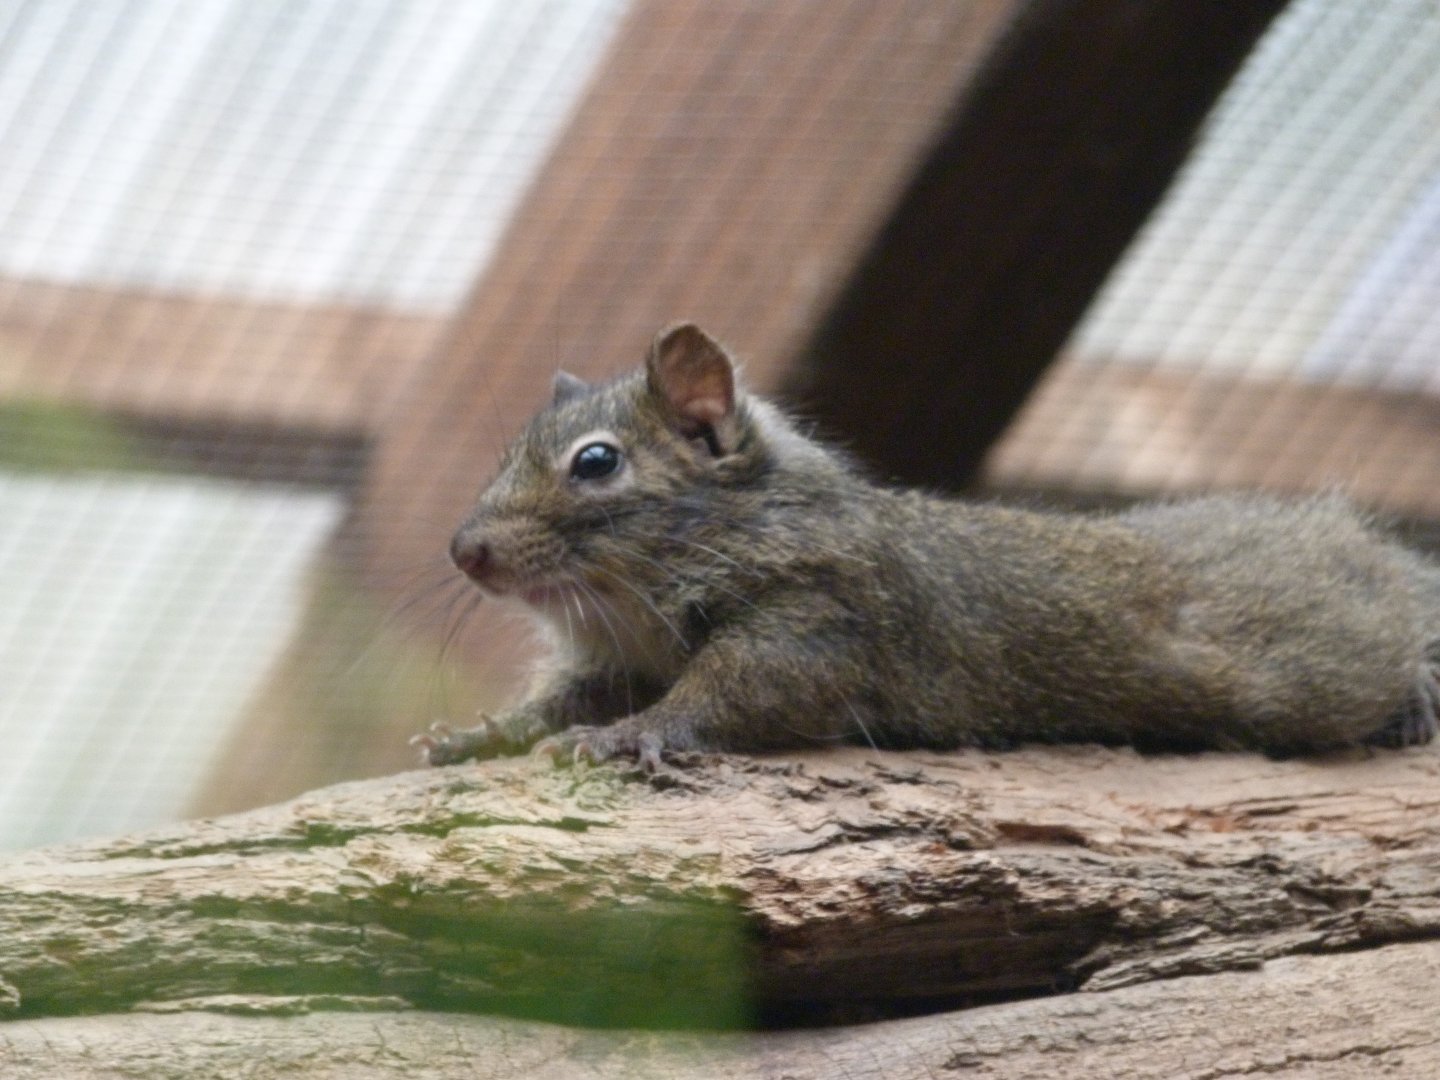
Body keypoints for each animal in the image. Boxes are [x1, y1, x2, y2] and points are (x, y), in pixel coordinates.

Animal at [413, 323, 1440, 770]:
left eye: (596, 462)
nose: (465, 553)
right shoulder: (620, 658)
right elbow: (561, 702)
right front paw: (478, 733)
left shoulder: (819, 617)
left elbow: (741, 691)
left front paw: (637, 734)